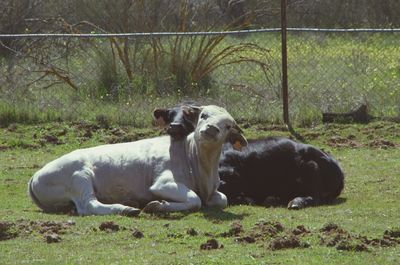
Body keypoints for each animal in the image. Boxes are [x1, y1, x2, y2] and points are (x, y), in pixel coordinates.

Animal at [27, 104, 247, 216]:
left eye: (228, 125)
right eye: (204, 115)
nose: (211, 129)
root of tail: (35, 176)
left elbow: (222, 199)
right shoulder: (163, 182)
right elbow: (194, 200)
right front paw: (157, 205)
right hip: (80, 178)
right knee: (88, 206)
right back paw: (127, 209)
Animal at [153, 103, 344, 208]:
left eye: (188, 117)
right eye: (170, 115)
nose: (174, 127)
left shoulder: (231, 175)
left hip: (310, 169)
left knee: (314, 197)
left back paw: (295, 201)